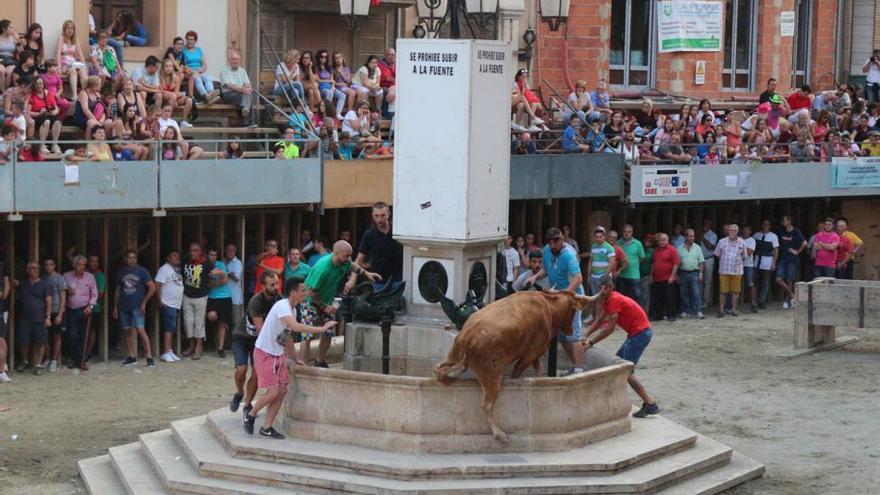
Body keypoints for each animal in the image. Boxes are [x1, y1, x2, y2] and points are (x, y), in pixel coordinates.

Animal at [432, 288, 592, 444]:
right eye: (573, 311)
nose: (572, 330)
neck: (549, 307)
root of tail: (467, 336)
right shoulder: (531, 353)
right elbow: (519, 372)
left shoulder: (534, 355)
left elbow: (539, 370)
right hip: (492, 376)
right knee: (486, 405)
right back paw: (499, 433)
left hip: (452, 356)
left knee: (438, 368)